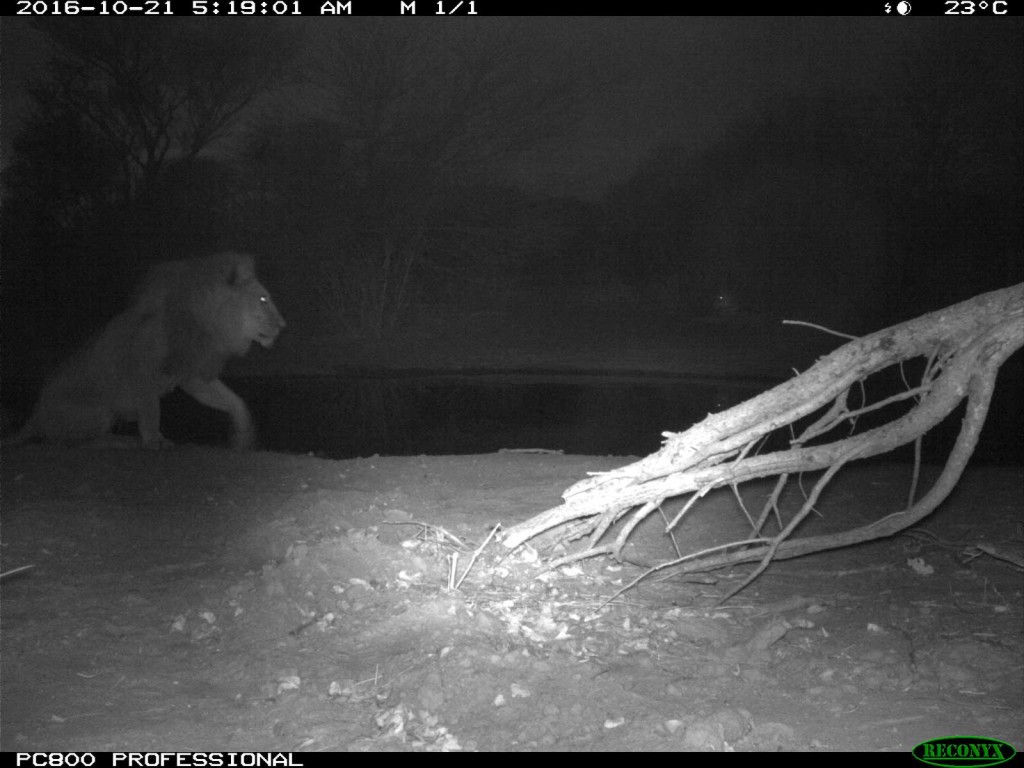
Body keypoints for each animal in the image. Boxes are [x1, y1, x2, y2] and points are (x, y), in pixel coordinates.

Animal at [9, 252, 286, 450]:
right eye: (263, 300)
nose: (283, 324)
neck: (208, 323)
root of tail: (35, 415)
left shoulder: (192, 374)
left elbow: (231, 399)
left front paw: (244, 435)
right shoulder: (143, 369)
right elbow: (152, 410)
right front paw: (155, 440)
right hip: (98, 411)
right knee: (74, 442)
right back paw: (120, 441)